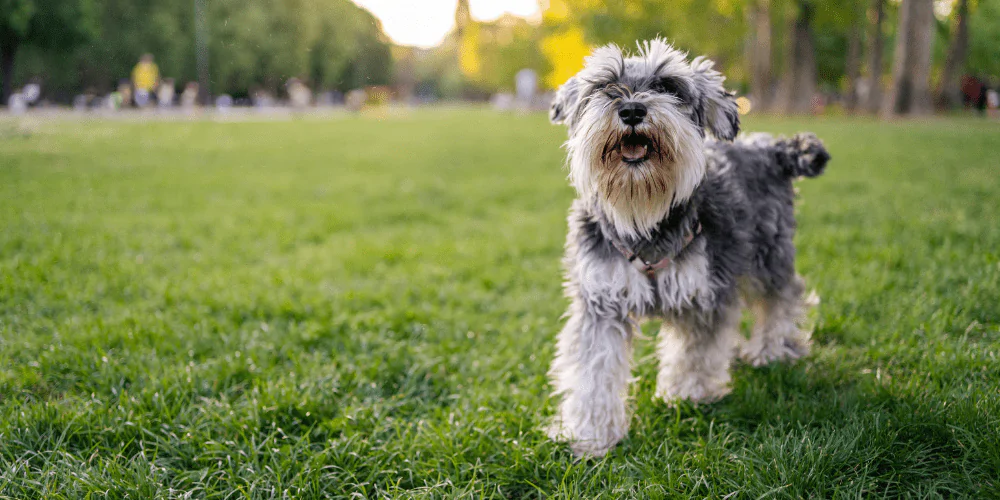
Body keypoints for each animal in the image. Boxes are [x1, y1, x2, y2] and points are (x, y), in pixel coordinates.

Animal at [544, 38, 832, 458]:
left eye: (668, 86)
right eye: (604, 85)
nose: (632, 109)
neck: (643, 217)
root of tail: (774, 149)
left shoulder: (703, 295)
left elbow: (695, 352)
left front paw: (687, 395)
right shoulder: (601, 301)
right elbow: (594, 370)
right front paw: (591, 433)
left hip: (768, 257)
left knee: (782, 297)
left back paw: (772, 349)